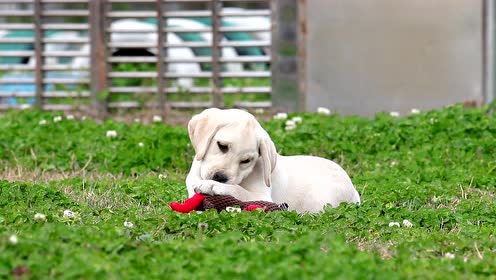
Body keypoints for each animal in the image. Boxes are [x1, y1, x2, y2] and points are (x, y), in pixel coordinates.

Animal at [186, 107, 360, 212]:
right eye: (221, 146)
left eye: (246, 161)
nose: (220, 177)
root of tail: (355, 192)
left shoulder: (263, 197)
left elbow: (239, 190)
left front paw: (213, 186)